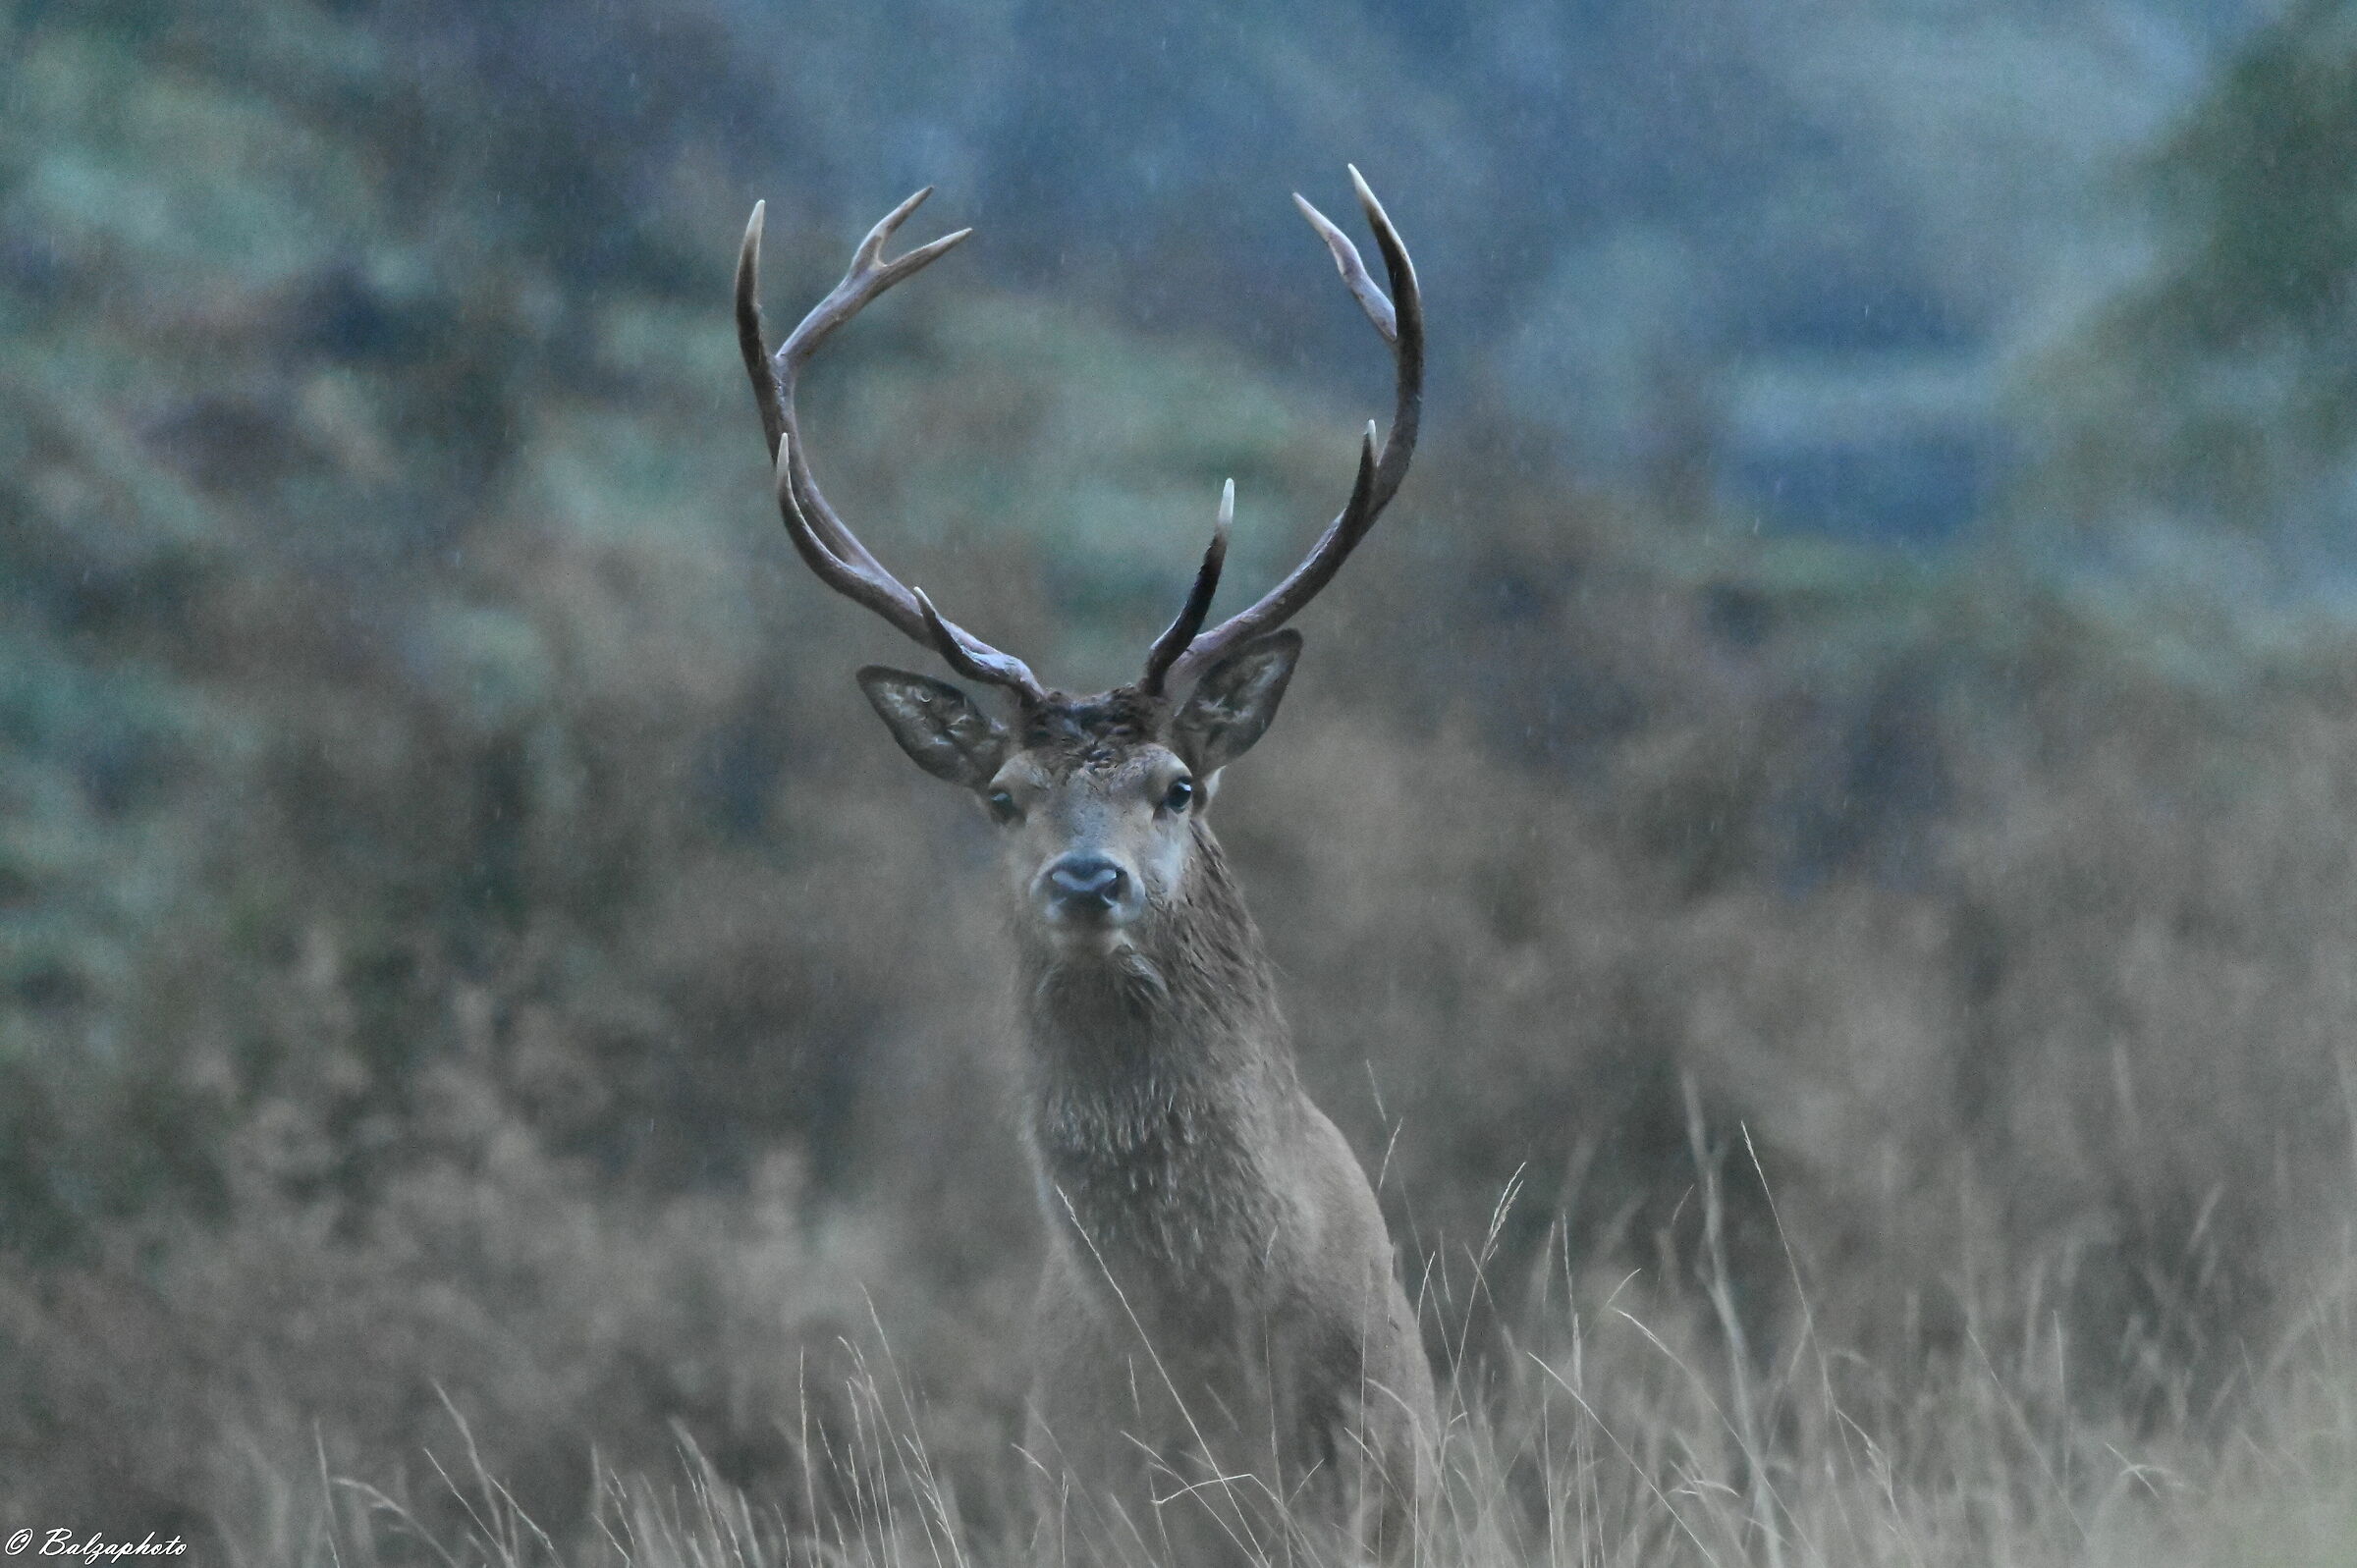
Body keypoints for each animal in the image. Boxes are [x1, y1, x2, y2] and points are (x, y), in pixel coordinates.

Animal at [732, 169, 1437, 1566]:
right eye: (1004, 798)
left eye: (1178, 786)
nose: (1089, 883)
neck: (1210, 1348)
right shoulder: (1079, 1486)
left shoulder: (1364, 1483)